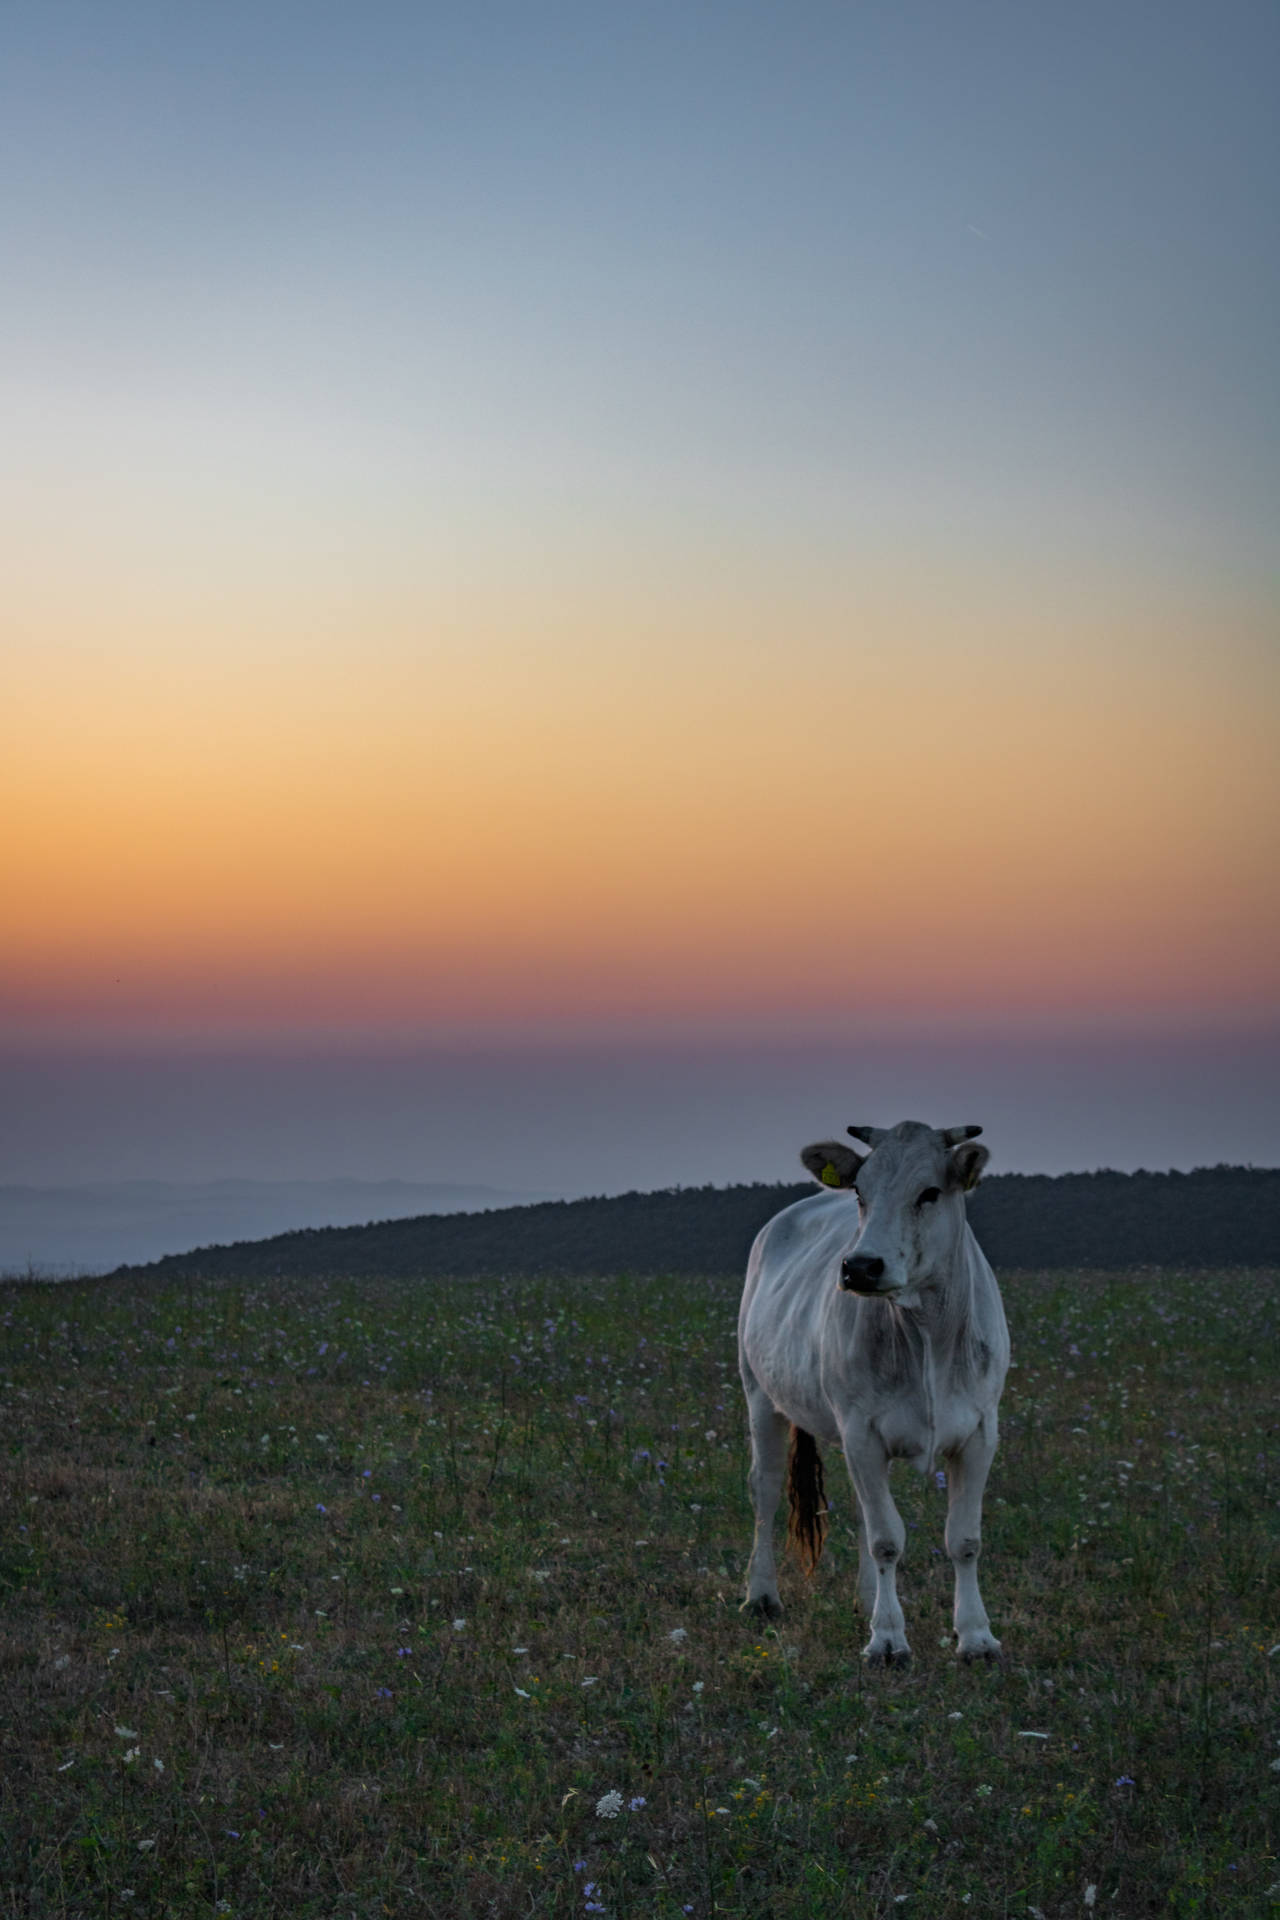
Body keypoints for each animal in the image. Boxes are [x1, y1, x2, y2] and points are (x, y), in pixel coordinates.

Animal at [740, 1121, 1013, 1666]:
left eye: (929, 1192)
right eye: (861, 1194)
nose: (861, 1266)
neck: (925, 1331)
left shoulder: (979, 1431)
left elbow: (964, 1539)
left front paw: (976, 1636)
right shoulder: (862, 1431)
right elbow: (886, 1539)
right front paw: (888, 1639)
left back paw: (867, 1599)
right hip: (759, 1392)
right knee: (766, 1489)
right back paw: (761, 1595)